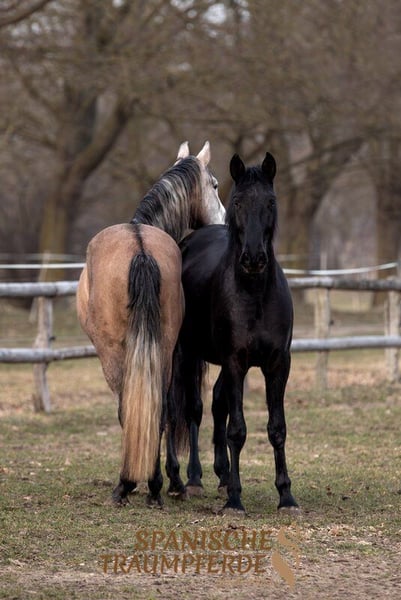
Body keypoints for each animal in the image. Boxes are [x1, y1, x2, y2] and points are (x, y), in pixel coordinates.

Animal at [76, 141, 225, 507]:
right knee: (159, 410)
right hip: (164, 348)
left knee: (128, 410)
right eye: (215, 185)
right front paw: (174, 480)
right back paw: (156, 485)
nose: (223, 221)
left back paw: (129, 484)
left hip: (114, 355)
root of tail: (140, 247)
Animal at [166, 152, 298, 513]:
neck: (253, 293)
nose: (253, 258)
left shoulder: (278, 364)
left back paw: (221, 475)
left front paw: (286, 496)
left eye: (270, 202)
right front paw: (235, 500)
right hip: (184, 354)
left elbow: (276, 428)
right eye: (237, 201)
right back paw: (187, 479)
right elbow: (237, 429)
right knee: (185, 408)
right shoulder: (236, 362)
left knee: (215, 405)